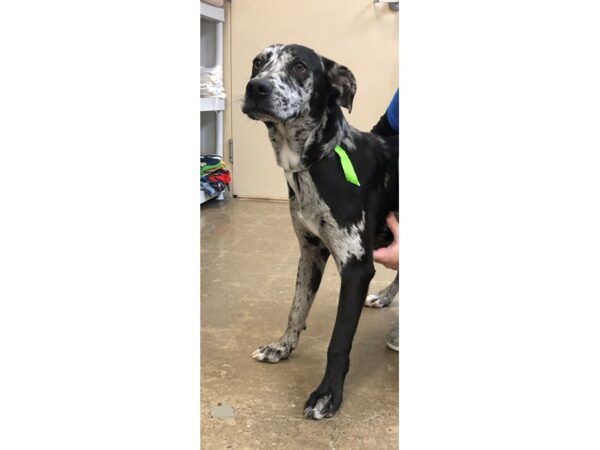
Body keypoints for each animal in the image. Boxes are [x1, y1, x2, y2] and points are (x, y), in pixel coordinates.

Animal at [239, 44, 398, 420]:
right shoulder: (310, 252)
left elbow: (337, 342)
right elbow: (296, 309)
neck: (319, 162)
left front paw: (327, 395)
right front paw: (282, 347)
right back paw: (386, 297)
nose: (256, 87)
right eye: (257, 62)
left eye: (300, 66)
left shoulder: (356, 269)